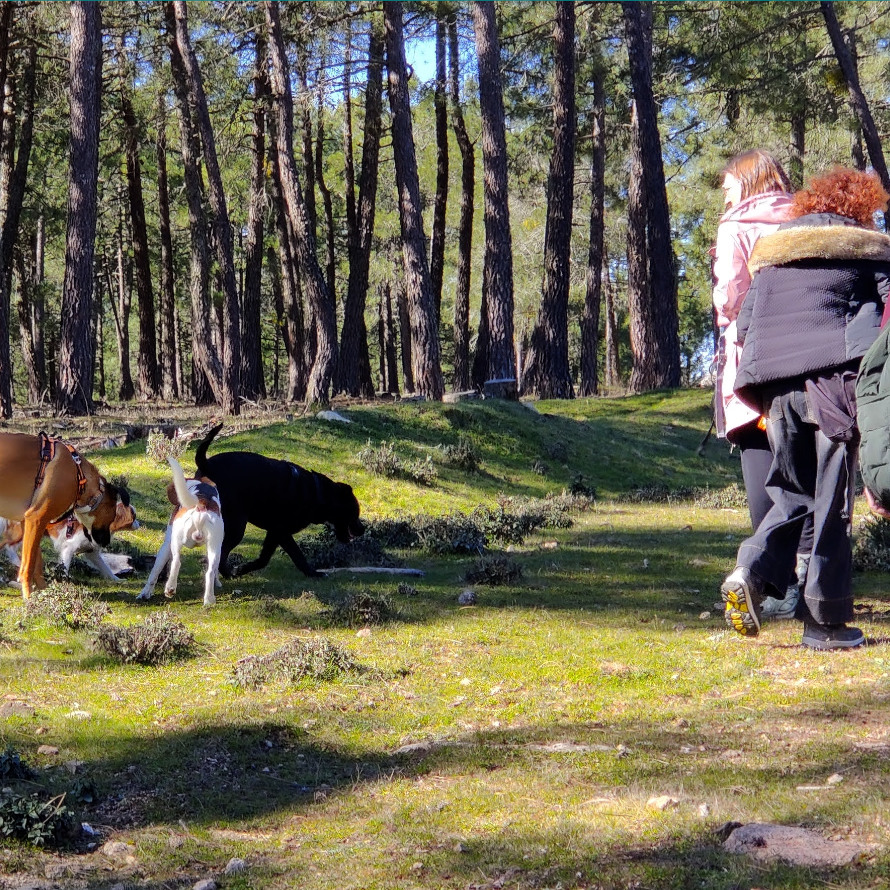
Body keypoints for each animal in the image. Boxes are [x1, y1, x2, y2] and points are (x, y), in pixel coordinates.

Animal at [0, 430, 134, 596]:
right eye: (113, 515)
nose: (105, 542)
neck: (79, 476)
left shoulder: (30, 522)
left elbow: (37, 563)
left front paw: (43, 592)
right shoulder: (37, 519)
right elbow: (29, 565)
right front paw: (29, 596)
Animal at [139, 454, 224, 608]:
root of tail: (201, 504)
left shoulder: (166, 545)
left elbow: (154, 572)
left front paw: (145, 593)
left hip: (175, 540)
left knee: (176, 562)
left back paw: (170, 588)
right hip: (214, 547)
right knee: (209, 572)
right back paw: (209, 600)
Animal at [193, 422, 362, 576]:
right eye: (355, 513)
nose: (362, 529)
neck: (317, 493)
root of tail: (207, 465)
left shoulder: (275, 533)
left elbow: (266, 558)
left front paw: (244, 568)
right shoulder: (281, 531)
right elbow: (297, 555)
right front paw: (313, 573)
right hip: (236, 526)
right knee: (222, 550)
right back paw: (227, 573)